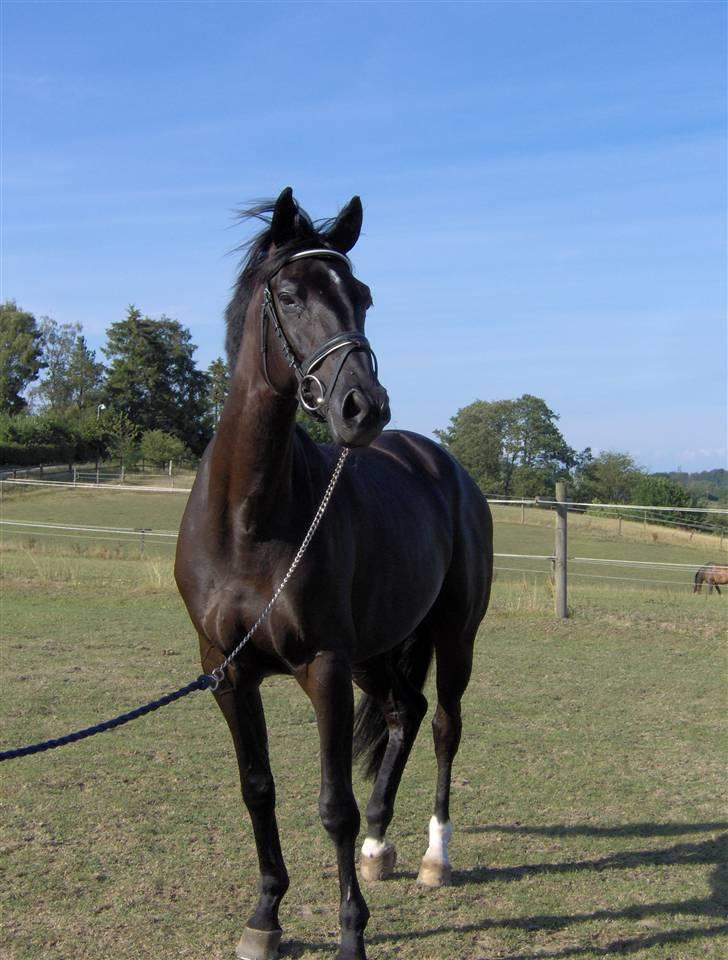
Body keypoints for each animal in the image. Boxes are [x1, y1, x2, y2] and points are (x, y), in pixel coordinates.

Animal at [175, 189, 494, 960]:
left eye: (364, 297)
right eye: (290, 296)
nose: (364, 408)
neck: (250, 520)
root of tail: (443, 465)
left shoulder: (323, 666)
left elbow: (333, 806)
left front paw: (350, 934)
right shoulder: (225, 672)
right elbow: (257, 789)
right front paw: (265, 916)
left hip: (452, 638)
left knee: (444, 725)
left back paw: (435, 858)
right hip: (375, 654)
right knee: (405, 712)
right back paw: (381, 847)